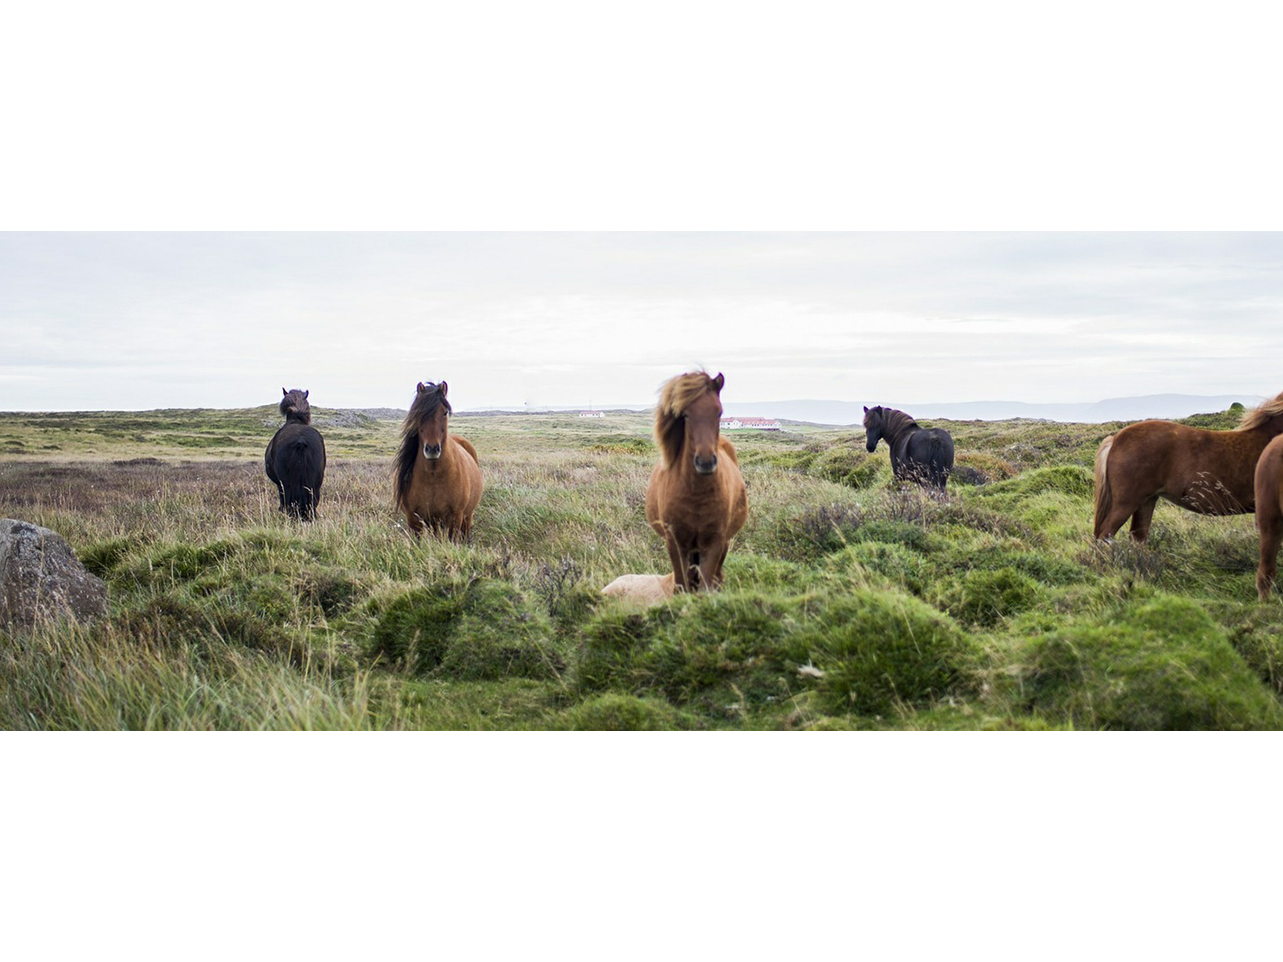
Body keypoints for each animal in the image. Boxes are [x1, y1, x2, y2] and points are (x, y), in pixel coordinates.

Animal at [264, 388, 326, 521]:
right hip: (315, 484)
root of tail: (301, 441)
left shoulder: (280, 484)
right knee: (312, 503)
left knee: (289, 503)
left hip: (286, 484)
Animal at [393, 380, 482, 541]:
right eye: (419, 414)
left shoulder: (455, 517)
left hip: (466, 516)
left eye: (444, 412)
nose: (432, 449)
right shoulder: (414, 520)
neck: (433, 476)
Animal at [644, 371, 748, 592]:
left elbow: (705, 588)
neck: (695, 495)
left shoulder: (714, 543)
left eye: (719, 412)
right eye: (685, 414)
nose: (706, 462)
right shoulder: (675, 543)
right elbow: (682, 585)